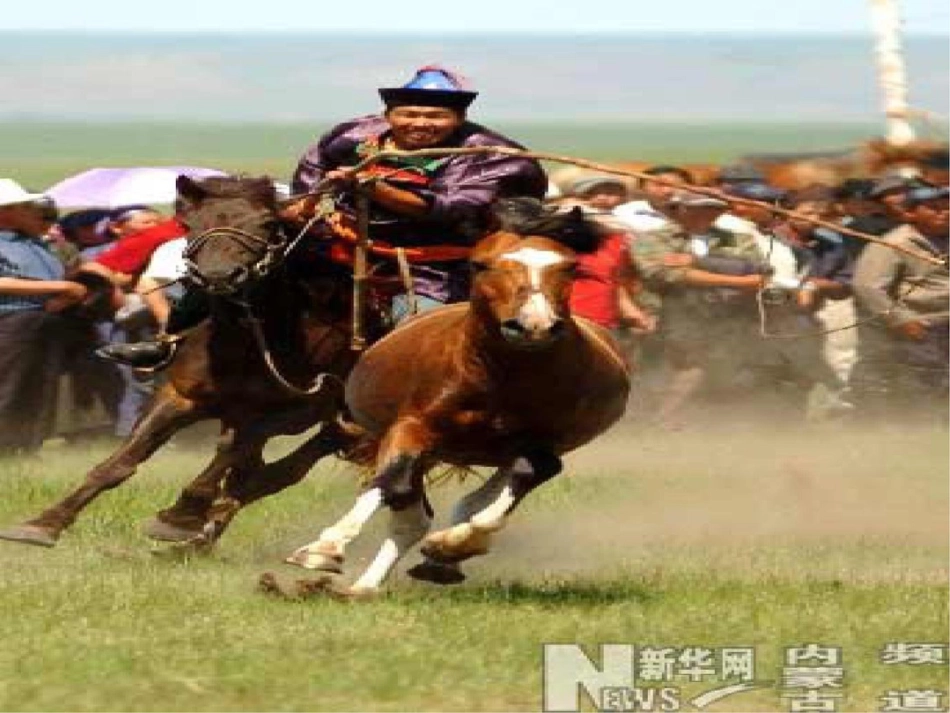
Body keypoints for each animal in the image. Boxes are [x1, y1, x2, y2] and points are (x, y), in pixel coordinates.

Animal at [0, 174, 366, 552]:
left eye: (266, 223)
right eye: (191, 225)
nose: (219, 276)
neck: (247, 340)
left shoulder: (298, 411)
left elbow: (233, 451)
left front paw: (182, 513)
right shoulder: (182, 397)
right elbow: (122, 461)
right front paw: (44, 523)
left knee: (274, 472)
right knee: (257, 473)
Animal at [280, 202, 632, 596]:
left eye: (569, 267)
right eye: (481, 264)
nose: (534, 325)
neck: (496, 381)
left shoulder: (544, 442)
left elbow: (516, 486)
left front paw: (452, 546)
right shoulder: (411, 427)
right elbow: (392, 482)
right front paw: (323, 549)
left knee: (470, 502)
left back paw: (427, 564)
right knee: (412, 513)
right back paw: (366, 585)